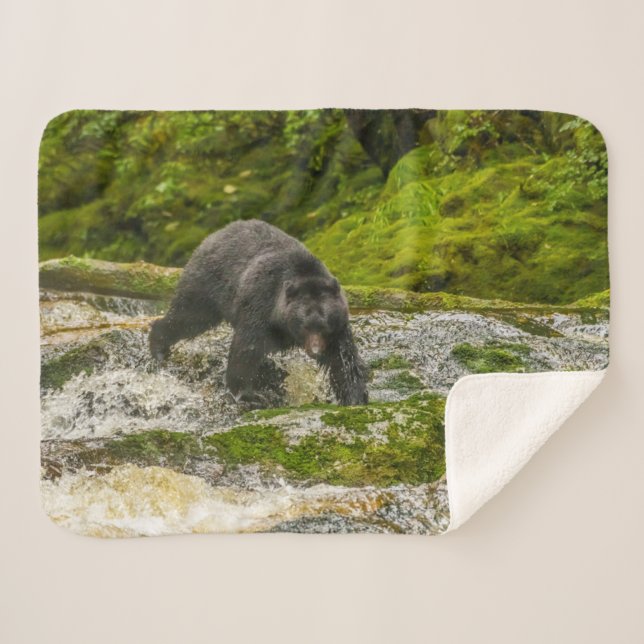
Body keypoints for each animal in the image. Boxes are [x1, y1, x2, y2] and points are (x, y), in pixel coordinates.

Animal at [149, 219, 369, 406]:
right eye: (304, 325)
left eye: (324, 325)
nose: (315, 351)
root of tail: (214, 235)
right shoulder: (261, 303)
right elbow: (247, 348)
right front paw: (248, 394)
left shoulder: (338, 328)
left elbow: (343, 361)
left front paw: (355, 398)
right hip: (208, 284)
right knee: (188, 316)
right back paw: (159, 347)